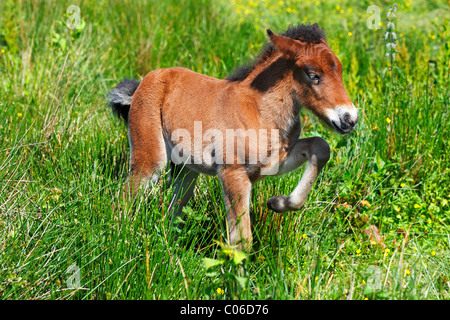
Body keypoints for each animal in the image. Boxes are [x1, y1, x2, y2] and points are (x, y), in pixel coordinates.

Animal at [110, 23, 358, 251]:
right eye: (313, 75)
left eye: (340, 70)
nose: (350, 119)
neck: (259, 110)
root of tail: (145, 81)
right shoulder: (233, 173)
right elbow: (241, 241)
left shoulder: (272, 162)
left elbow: (321, 146)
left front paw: (278, 202)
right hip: (151, 158)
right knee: (126, 195)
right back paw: (120, 239)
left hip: (186, 170)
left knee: (174, 211)